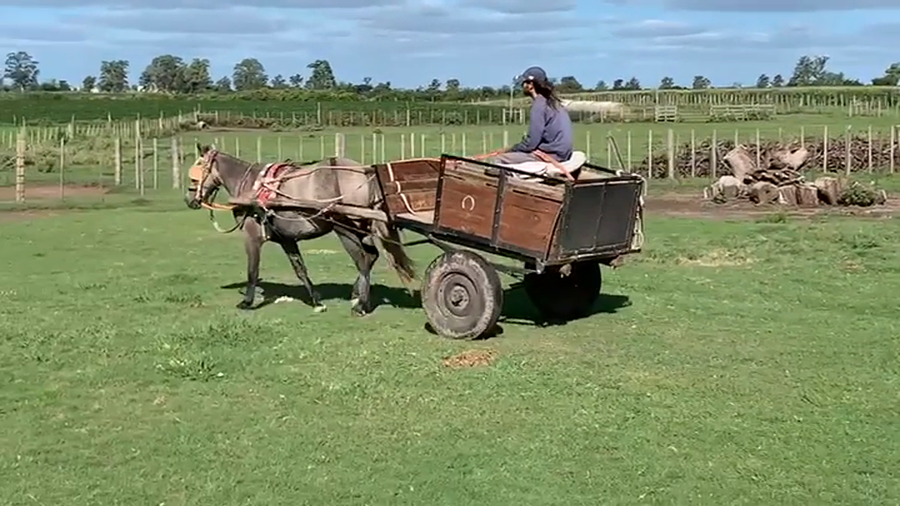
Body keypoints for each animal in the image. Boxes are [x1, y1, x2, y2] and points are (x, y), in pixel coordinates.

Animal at [184, 143, 416, 316]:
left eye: (197, 167)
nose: (188, 199)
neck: (251, 186)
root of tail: (364, 171)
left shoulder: (252, 237)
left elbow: (252, 270)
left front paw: (247, 302)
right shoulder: (287, 239)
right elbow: (300, 269)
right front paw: (316, 301)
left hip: (345, 229)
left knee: (363, 260)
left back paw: (360, 304)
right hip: (360, 227)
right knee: (372, 255)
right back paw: (357, 296)